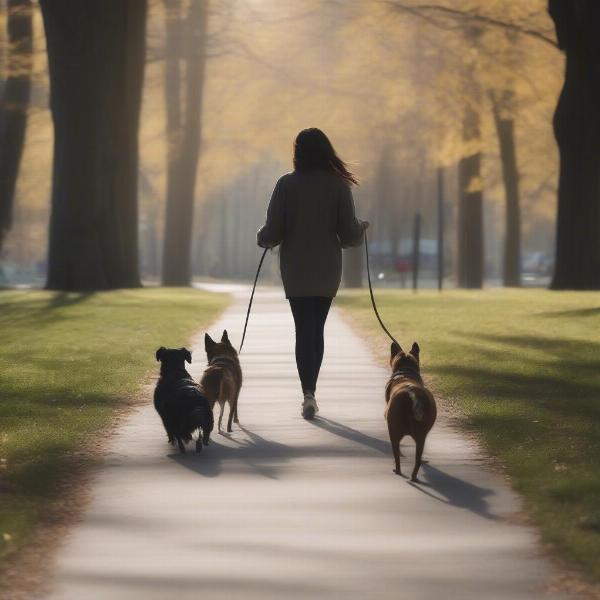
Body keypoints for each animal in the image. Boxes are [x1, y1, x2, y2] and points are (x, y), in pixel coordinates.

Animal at [384, 342, 436, 482]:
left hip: (393, 431)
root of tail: (411, 393)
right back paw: (414, 476)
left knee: (397, 454)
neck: (406, 372)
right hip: (421, 435)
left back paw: (397, 471)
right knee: (417, 460)